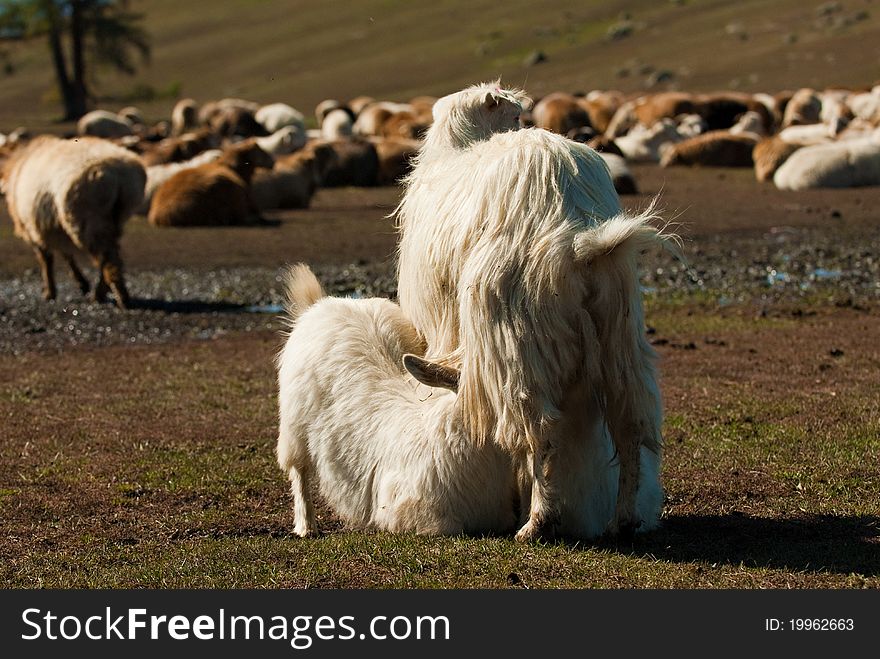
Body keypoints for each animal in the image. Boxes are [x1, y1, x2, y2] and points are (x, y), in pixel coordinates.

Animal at [0, 136, 144, 310]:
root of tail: (117, 174)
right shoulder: (55, 227)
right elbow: (67, 254)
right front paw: (81, 283)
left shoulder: (34, 228)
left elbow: (46, 260)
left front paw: (49, 293)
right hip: (115, 218)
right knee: (111, 254)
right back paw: (105, 293)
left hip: (89, 217)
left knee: (109, 259)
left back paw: (116, 297)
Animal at [396, 81, 672, 540]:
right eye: (516, 116)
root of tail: (575, 228)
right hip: (621, 329)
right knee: (630, 422)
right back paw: (624, 519)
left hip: (514, 334)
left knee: (540, 430)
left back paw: (538, 522)